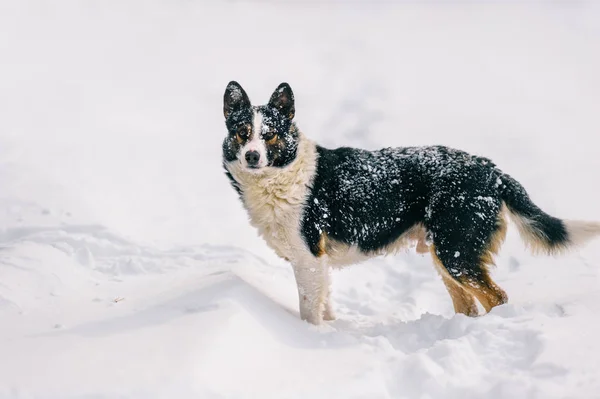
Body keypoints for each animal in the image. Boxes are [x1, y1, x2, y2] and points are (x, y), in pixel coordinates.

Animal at [221, 81, 600, 324]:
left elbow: (309, 313)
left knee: (498, 299)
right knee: (470, 306)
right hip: (446, 256)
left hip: (455, 252)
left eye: (269, 135)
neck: (282, 175)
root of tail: (491, 170)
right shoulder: (319, 264)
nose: (252, 156)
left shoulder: (309, 259)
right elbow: (325, 307)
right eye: (241, 133)